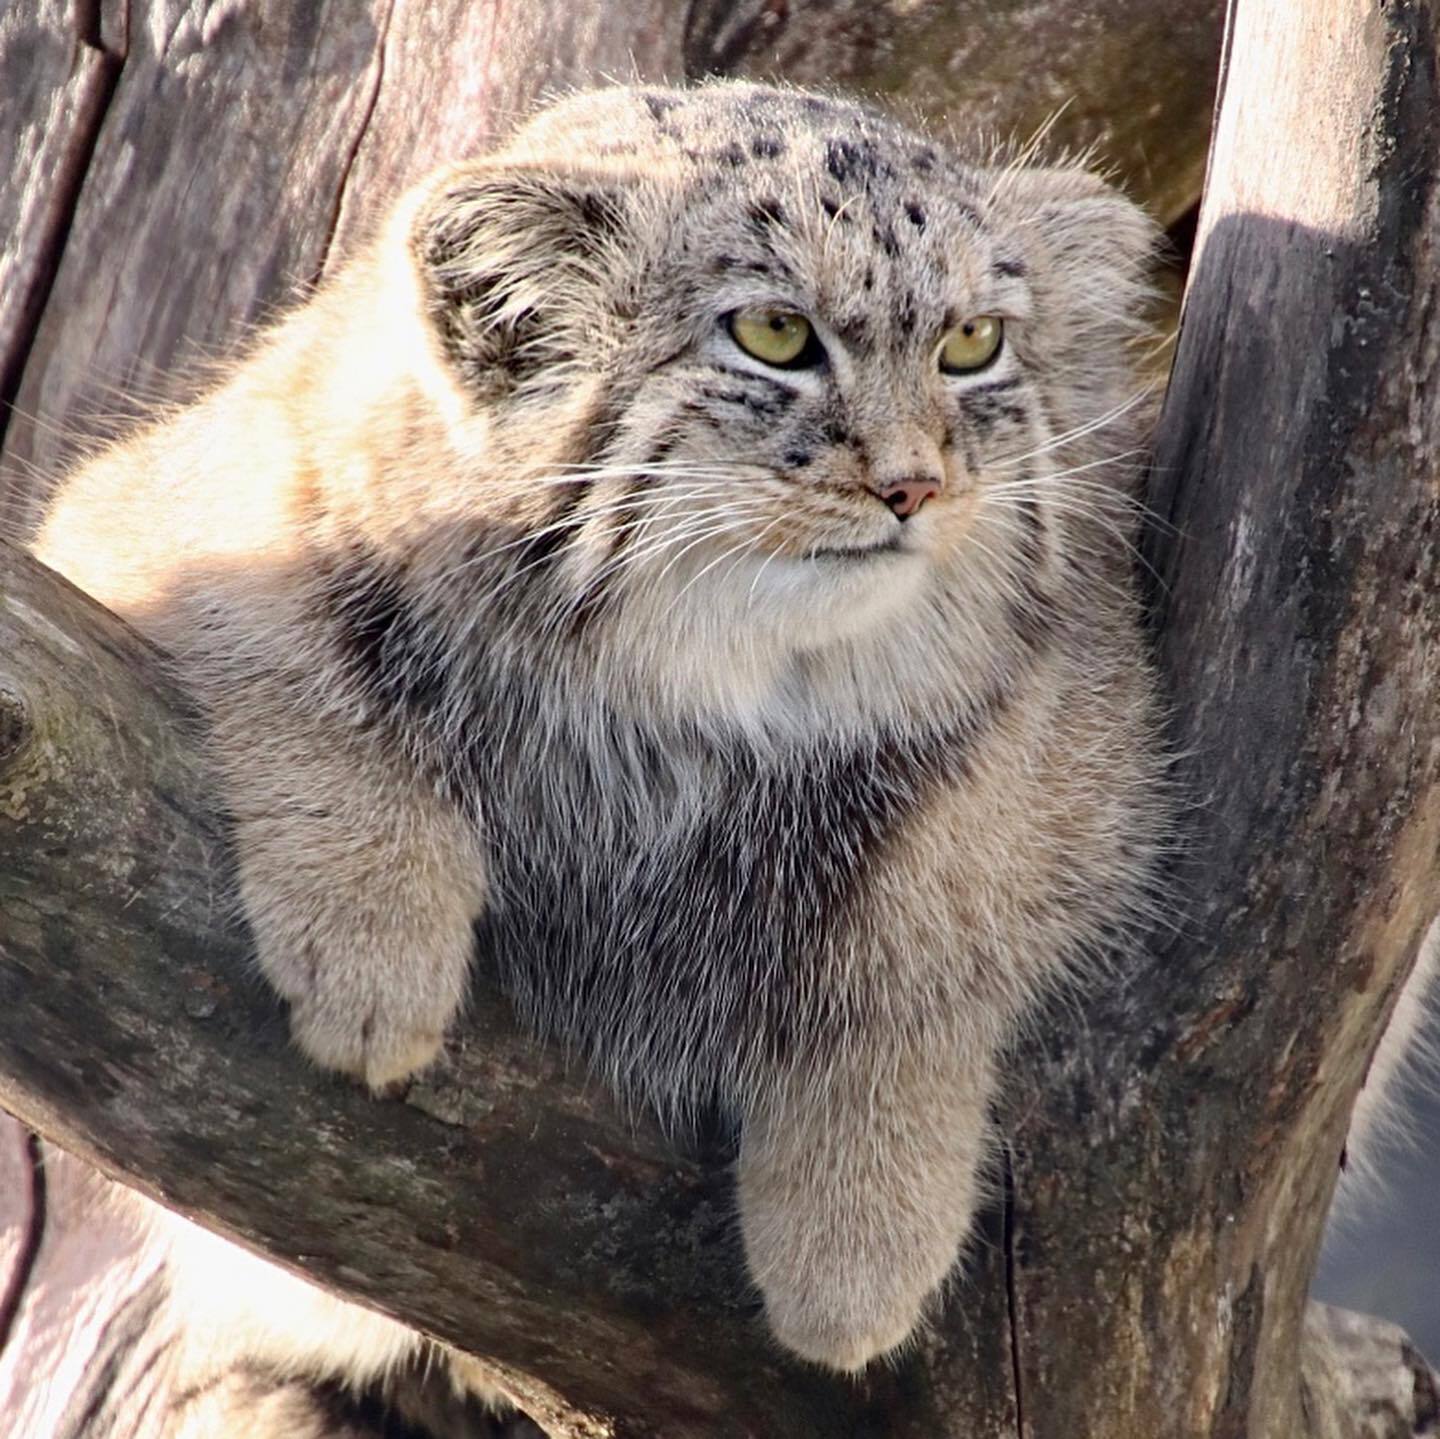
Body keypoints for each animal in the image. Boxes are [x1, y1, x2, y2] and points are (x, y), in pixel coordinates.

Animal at [28, 78, 1163, 1382]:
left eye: (973, 345)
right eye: (774, 334)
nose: (917, 485)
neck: (699, 698)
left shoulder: (1084, 762)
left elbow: (928, 950)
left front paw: (864, 1223)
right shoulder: (139, 519)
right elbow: (305, 657)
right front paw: (372, 941)